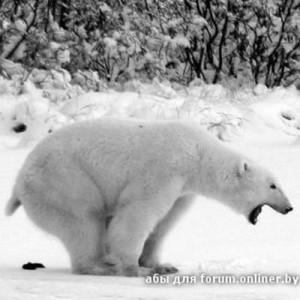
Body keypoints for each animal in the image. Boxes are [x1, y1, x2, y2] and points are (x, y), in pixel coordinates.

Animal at [5, 118, 292, 276]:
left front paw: (162, 265)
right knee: (84, 220)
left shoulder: (183, 190)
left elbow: (164, 222)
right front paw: (135, 268)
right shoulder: (164, 169)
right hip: (62, 180)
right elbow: (137, 213)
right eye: (273, 186)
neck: (198, 156)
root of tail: (18, 183)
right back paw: (101, 265)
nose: (289, 208)